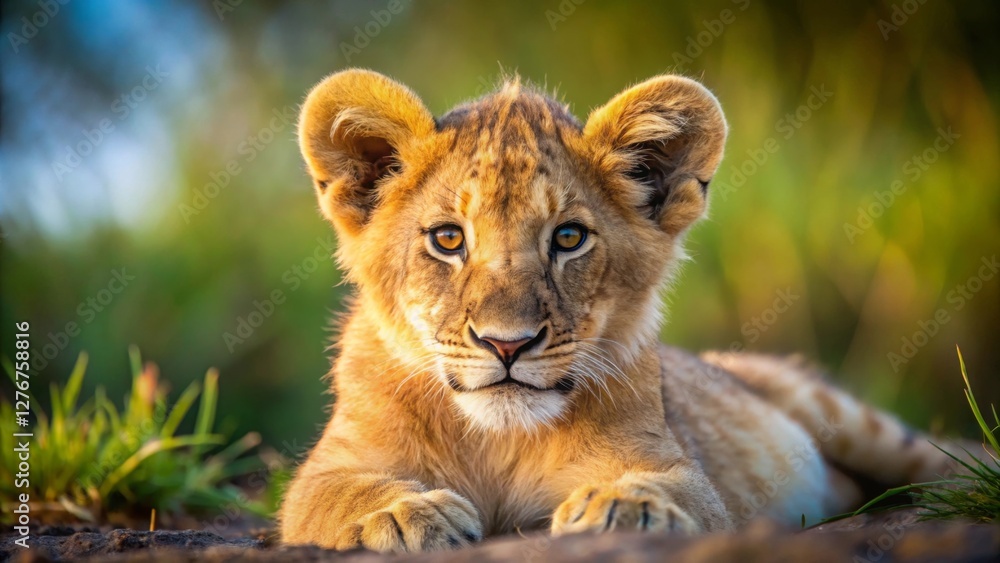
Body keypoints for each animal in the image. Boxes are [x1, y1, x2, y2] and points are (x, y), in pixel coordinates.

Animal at [279, 69, 967, 552]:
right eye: (448, 239)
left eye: (568, 238)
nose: (507, 344)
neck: (497, 440)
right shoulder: (328, 466)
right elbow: (330, 495)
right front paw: (400, 512)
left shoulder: (678, 466)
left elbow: (674, 486)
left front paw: (626, 506)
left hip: (836, 411)